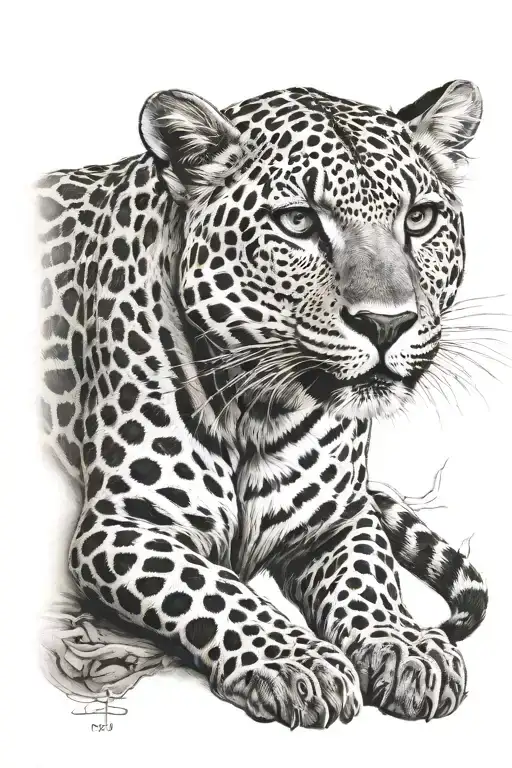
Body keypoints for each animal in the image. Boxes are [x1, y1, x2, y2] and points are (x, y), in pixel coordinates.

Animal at [38, 80, 488, 727]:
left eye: (419, 219)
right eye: (298, 221)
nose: (388, 323)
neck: (259, 406)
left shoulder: (340, 518)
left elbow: (370, 577)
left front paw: (404, 646)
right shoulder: (123, 524)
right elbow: (215, 591)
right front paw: (296, 663)